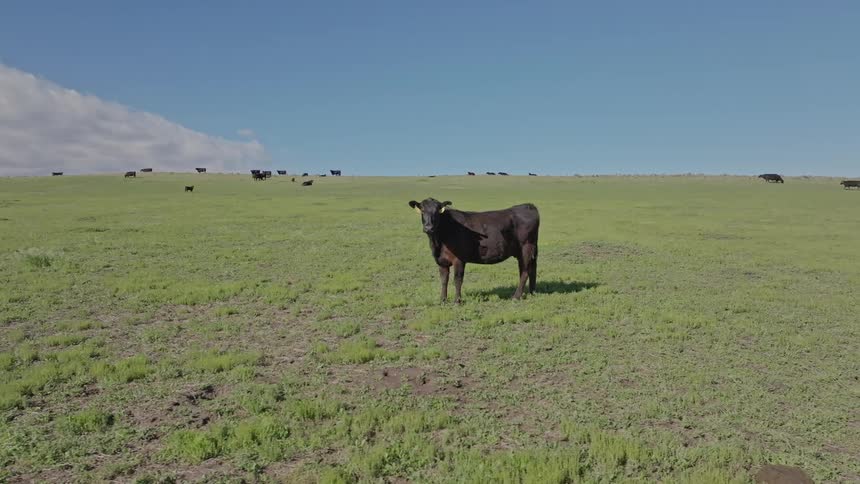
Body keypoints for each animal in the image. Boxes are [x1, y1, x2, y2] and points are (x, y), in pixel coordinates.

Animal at [408, 198, 540, 303]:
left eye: (437, 211)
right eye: (422, 210)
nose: (429, 227)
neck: (438, 242)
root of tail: (528, 205)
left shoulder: (459, 259)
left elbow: (457, 280)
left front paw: (457, 301)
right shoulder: (441, 261)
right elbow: (444, 280)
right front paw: (443, 300)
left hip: (526, 248)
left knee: (525, 272)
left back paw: (516, 296)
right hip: (529, 250)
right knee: (531, 269)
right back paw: (532, 292)